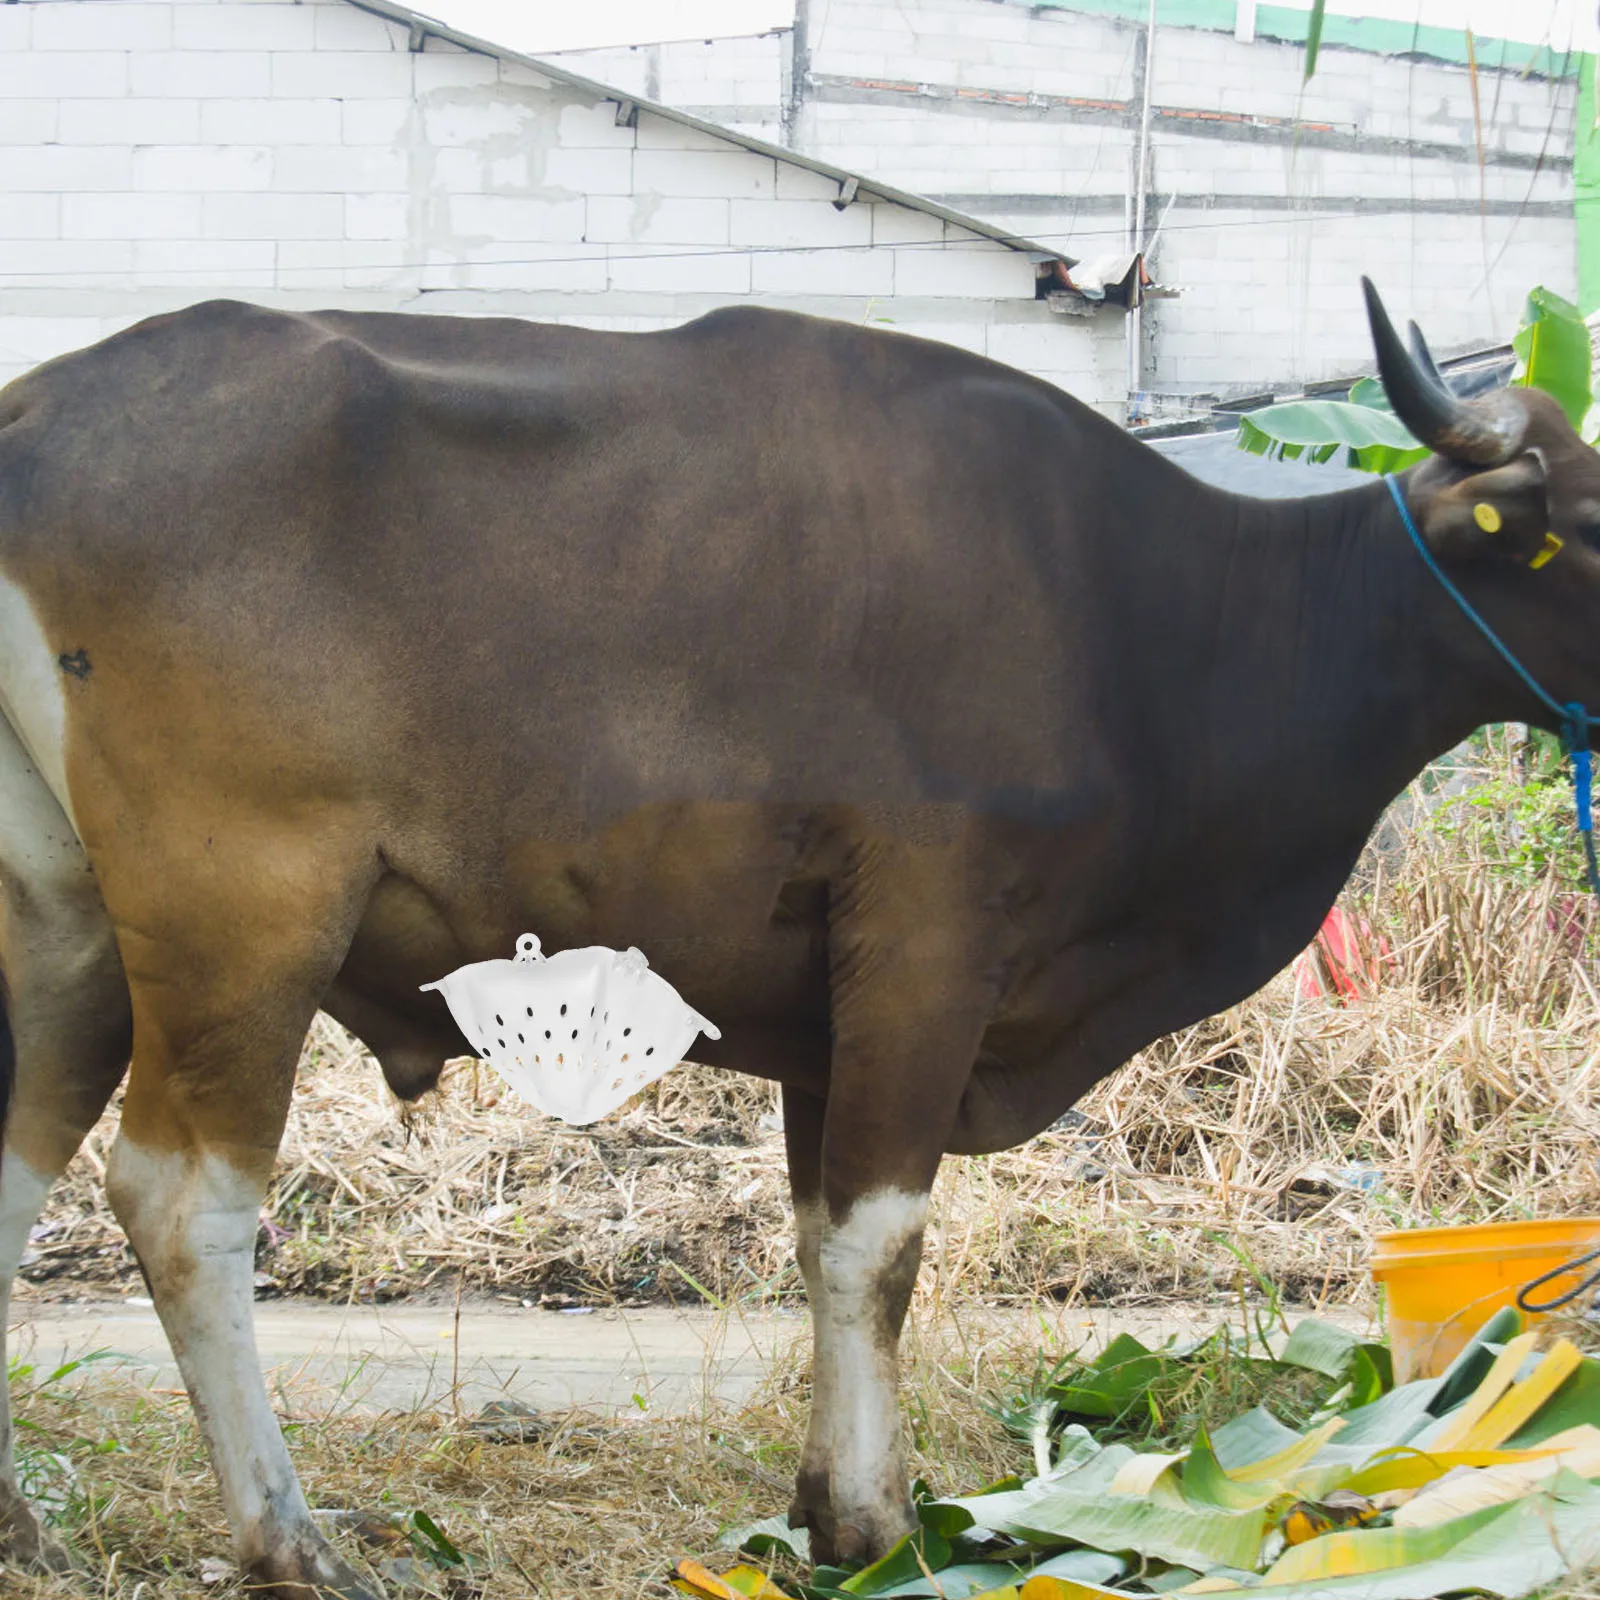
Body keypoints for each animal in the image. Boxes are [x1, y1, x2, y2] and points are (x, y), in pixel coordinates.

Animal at [0, 279, 1595, 1597]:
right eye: (1581, 531)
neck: (1163, 625)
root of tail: (44, 407)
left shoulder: (834, 1012)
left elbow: (825, 1231)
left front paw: (831, 1510)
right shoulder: (931, 944)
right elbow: (879, 1250)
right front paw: (884, 1530)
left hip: (67, 927)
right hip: (246, 915)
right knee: (182, 1203)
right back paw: (287, 1538)